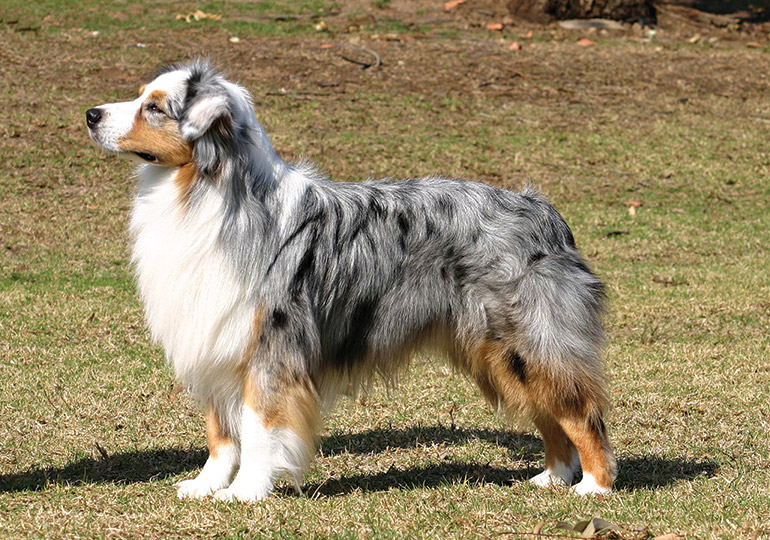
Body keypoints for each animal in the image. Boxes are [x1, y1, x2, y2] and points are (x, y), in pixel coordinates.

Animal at [84, 60, 616, 502]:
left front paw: (245, 492)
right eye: (140, 96)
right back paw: (553, 476)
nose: (90, 114)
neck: (205, 194)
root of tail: (544, 211)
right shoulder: (213, 335)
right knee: (550, 414)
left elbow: (257, 427)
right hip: (503, 352)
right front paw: (205, 485)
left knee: (581, 414)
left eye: (154, 107)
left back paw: (594, 487)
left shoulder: (270, 345)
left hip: (533, 341)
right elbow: (220, 431)